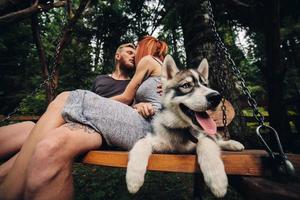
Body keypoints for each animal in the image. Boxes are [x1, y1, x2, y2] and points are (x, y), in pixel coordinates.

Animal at [125, 55, 245, 198]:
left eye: (205, 85)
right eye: (186, 85)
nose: (216, 97)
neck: (181, 129)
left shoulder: (203, 136)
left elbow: (206, 143)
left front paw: (217, 180)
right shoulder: (153, 138)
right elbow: (141, 143)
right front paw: (133, 179)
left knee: (218, 140)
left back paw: (233, 144)